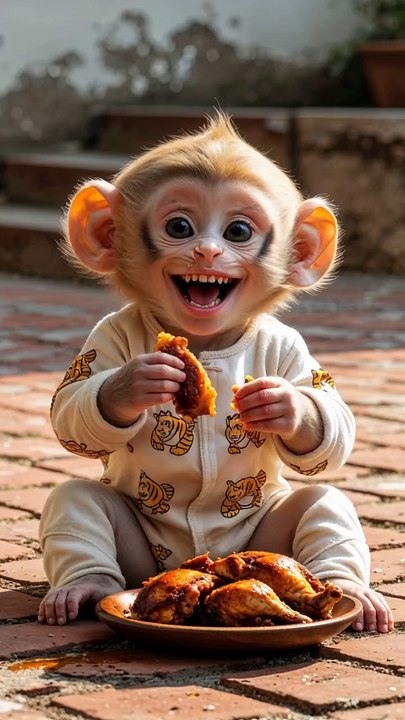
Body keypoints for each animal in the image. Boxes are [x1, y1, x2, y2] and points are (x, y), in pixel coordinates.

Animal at [38, 113, 393, 633]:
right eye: (179, 226)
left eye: (238, 231)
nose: (206, 252)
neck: (206, 345)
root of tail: (203, 555)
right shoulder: (102, 340)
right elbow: (73, 408)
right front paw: (136, 382)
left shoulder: (294, 348)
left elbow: (330, 422)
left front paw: (282, 403)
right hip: (139, 553)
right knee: (77, 502)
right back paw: (83, 587)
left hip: (264, 537)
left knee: (323, 503)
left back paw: (351, 593)